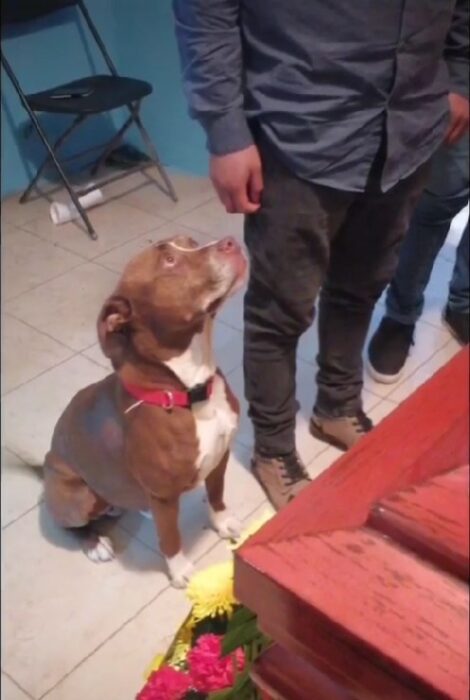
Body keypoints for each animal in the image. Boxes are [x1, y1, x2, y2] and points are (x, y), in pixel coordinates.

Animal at [42, 234, 248, 584]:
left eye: (190, 242)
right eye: (169, 261)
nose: (231, 242)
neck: (188, 390)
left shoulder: (220, 458)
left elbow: (217, 495)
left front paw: (222, 522)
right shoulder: (163, 498)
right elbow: (170, 537)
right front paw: (179, 570)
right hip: (77, 495)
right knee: (71, 524)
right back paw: (94, 543)